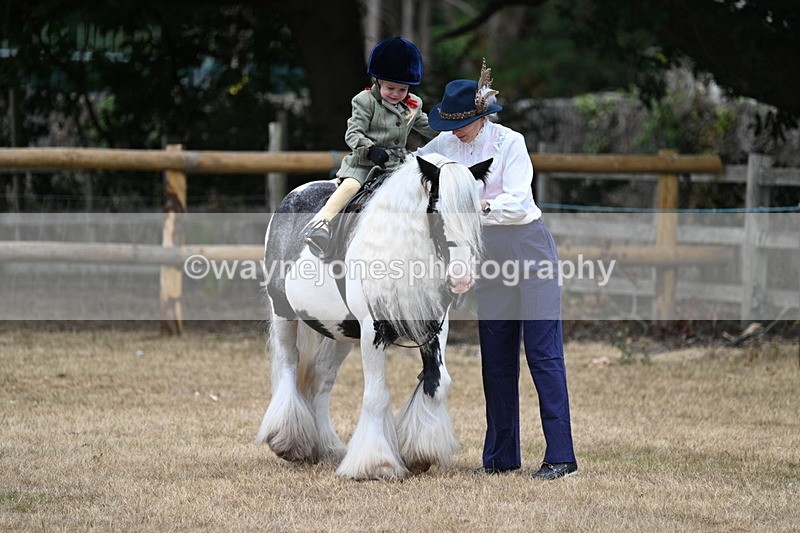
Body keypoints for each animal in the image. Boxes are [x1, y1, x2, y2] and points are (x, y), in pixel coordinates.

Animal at [256, 153, 492, 480]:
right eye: (435, 210)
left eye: (478, 211)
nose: (461, 278)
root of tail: (293, 195)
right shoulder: (373, 332)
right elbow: (377, 395)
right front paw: (376, 464)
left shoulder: (433, 330)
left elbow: (436, 383)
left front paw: (420, 454)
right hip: (284, 315)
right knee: (289, 366)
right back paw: (288, 442)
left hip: (340, 333)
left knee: (320, 379)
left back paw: (326, 447)